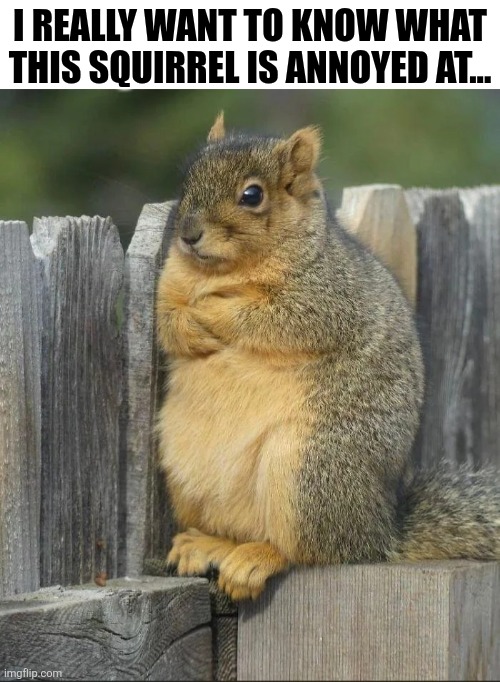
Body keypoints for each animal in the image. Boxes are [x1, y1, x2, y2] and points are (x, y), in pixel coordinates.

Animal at [155, 112, 500, 601]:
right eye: (187, 178)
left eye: (252, 195)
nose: (187, 234)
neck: (223, 271)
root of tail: (379, 532)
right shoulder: (168, 284)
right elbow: (166, 322)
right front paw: (189, 327)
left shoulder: (328, 296)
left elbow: (273, 318)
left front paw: (212, 311)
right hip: (184, 469)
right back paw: (208, 544)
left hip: (307, 470)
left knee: (309, 551)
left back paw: (257, 559)